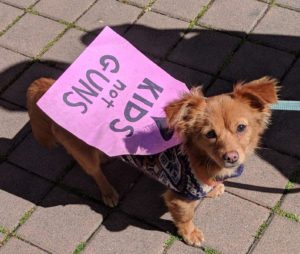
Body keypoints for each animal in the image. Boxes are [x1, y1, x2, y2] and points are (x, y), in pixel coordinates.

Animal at [27, 77, 278, 246]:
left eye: (241, 127)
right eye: (210, 134)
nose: (231, 157)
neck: (200, 158)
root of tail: (51, 85)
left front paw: (215, 188)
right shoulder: (179, 197)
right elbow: (186, 217)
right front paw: (190, 234)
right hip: (83, 154)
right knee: (95, 172)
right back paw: (108, 193)